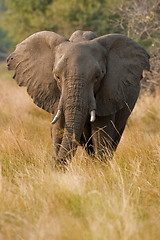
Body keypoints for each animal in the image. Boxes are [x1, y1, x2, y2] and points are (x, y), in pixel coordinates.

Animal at [7, 30, 150, 168]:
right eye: (57, 76)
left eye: (97, 76)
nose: (56, 161)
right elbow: (58, 130)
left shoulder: (108, 94)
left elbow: (101, 132)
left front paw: (101, 169)